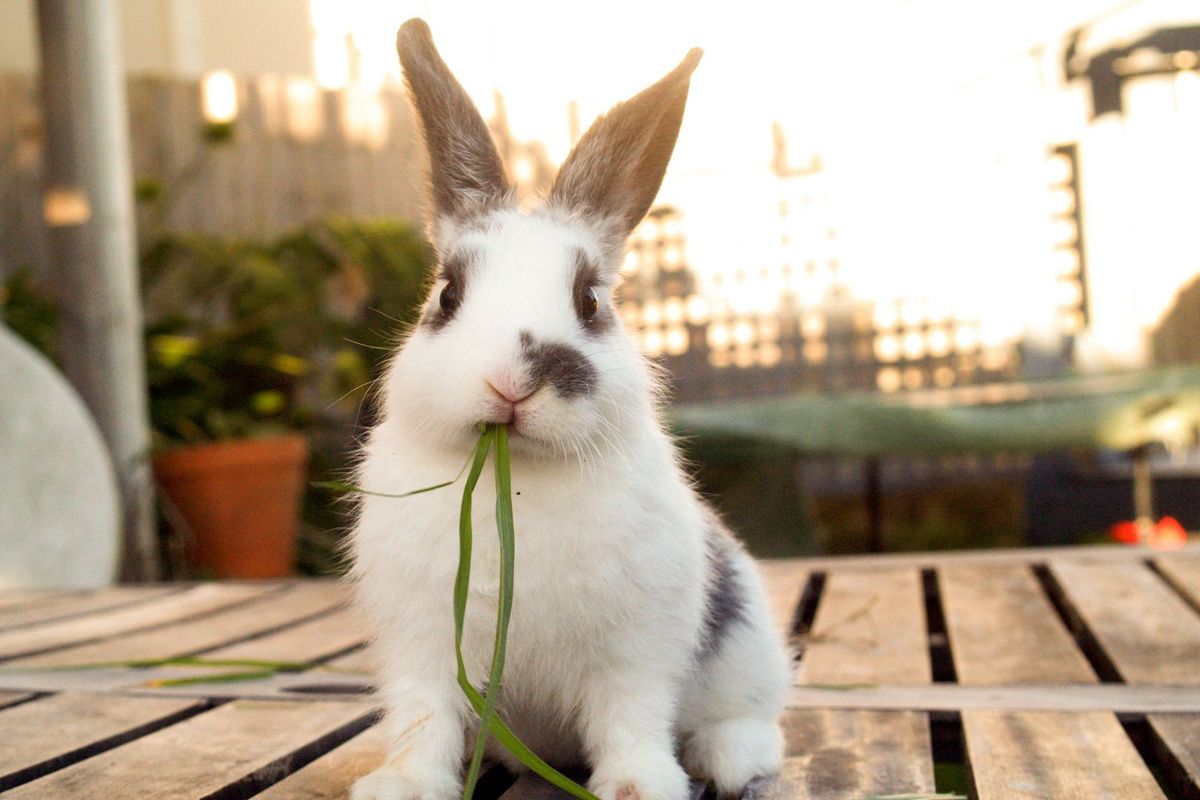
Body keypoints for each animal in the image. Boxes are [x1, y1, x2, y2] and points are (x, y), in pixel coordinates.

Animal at [350, 18, 787, 800]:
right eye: (447, 295)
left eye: (590, 301)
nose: (512, 382)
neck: (516, 480)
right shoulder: (419, 646)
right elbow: (422, 720)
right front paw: (401, 785)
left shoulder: (635, 651)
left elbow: (629, 719)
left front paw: (640, 787)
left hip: (748, 648)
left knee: (753, 720)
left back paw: (729, 758)